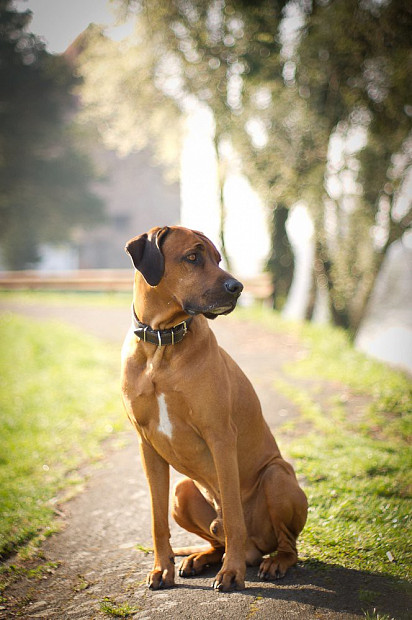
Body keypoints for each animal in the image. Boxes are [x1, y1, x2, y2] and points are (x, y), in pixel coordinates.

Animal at [120, 226, 308, 592]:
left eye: (218, 259)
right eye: (193, 257)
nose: (238, 287)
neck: (162, 344)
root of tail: (256, 550)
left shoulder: (220, 437)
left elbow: (234, 517)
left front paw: (231, 573)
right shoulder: (147, 446)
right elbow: (156, 520)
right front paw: (161, 568)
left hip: (277, 475)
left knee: (285, 545)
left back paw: (273, 562)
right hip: (182, 492)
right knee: (217, 539)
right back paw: (201, 557)